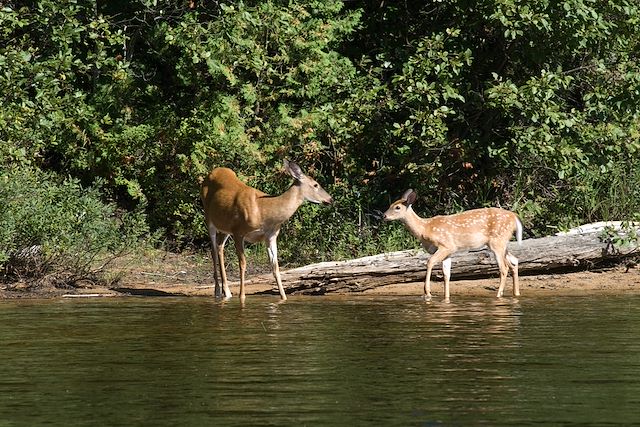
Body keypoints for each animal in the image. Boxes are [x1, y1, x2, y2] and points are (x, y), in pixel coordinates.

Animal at [200, 159, 332, 302]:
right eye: (315, 184)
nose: (330, 199)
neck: (264, 212)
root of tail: (212, 172)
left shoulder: (270, 236)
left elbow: (275, 267)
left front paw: (283, 298)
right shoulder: (238, 231)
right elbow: (243, 264)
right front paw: (242, 297)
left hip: (225, 228)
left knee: (219, 247)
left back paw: (227, 292)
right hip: (209, 218)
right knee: (213, 250)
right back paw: (218, 292)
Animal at [382, 189, 524, 302]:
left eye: (397, 207)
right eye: (390, 204)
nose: (384, 215)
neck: (425, 229)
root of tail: (515, 217)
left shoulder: (446, 245)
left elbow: (429, 262)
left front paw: (427, 293)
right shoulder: (448, 253)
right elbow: (446, 274)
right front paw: (446, 298)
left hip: (497, 241)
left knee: (504, 268)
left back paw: (498, 295)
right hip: (502, 243)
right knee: (514, 261)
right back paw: (516, 294)